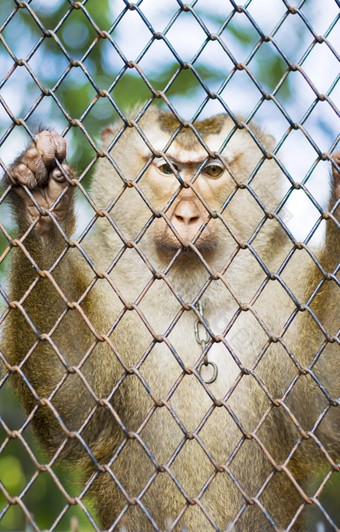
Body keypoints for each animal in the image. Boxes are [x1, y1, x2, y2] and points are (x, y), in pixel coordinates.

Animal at [1, 109, 338, 532]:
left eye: (212, 171)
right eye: (166, 169)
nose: (187, 214)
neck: (188, 294)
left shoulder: (285, 285)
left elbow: (324, 402)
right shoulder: (106, 282)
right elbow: (74, 404)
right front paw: (42, 203)